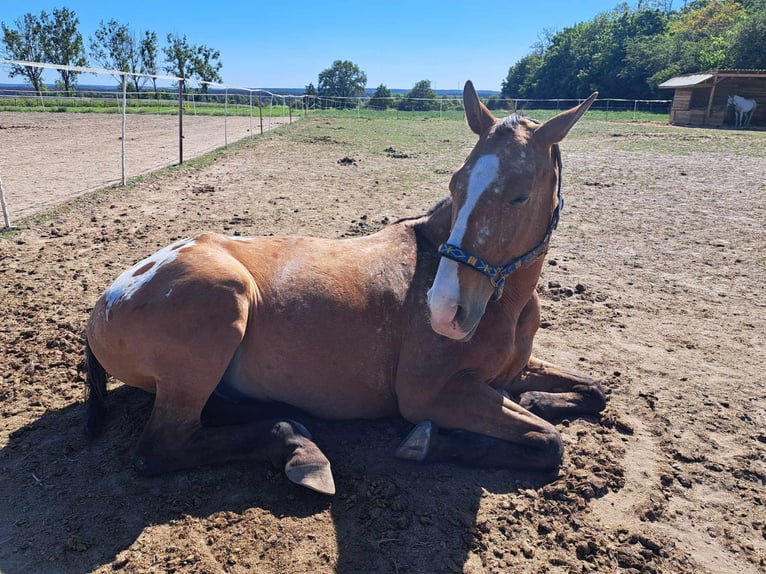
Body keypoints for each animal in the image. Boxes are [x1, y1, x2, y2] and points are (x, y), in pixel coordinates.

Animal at [85, 82, 608, 500]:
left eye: (520, 195)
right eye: (457, 183)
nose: (444, 309)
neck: (507, 306)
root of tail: (105, 302)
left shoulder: (511, 372)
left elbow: (595, 391)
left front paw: (537, 400)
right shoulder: (431, 395)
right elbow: (549, 441)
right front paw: (429, 443)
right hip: (220, 303)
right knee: (161, 448)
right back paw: (300, 450)